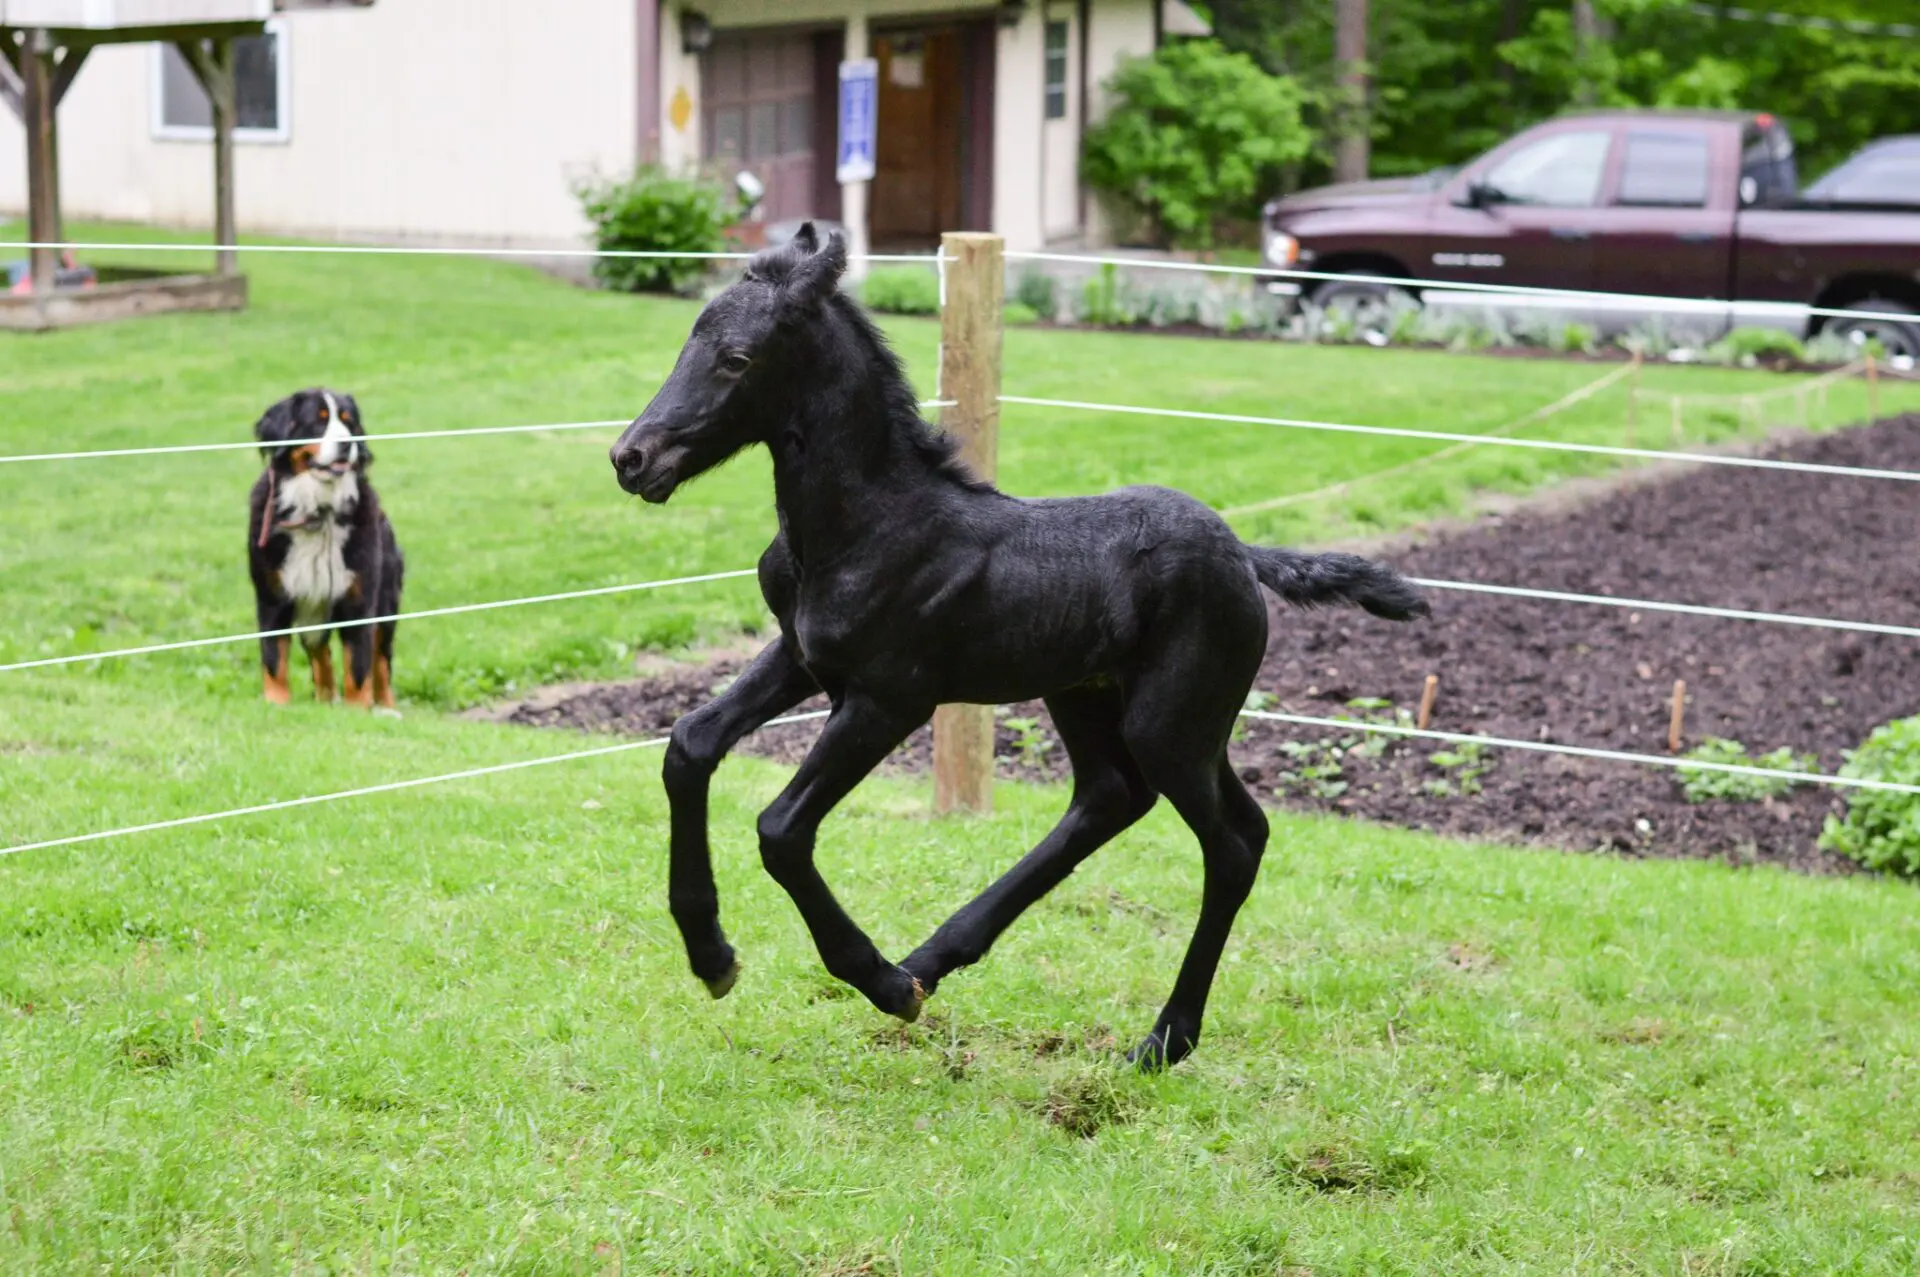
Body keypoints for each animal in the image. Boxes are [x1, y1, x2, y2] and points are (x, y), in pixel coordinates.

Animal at [247, 387, 405, 706]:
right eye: (318, 421)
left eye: (348, 421)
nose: (346, 444)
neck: (317, 510)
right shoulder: (271, 597)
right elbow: (273, 658)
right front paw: (276, 704)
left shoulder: (360, 598)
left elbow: (359, 664)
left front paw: (358, 708)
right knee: (320, 654)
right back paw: (326, 702)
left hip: (386, 601)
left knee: (381, 660)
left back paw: (386, 707)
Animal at [610, 226, 1428, 1067]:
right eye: (690, 340)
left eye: (737, 358)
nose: (631, 458)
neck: (868, 522)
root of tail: (1243, 555)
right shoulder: (801, 657)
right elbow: (689, 743)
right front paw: (712, 956)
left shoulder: (889, 697)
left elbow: (781, 829)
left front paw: (879, 983)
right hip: (1096, 698)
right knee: (1118, 798)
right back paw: (937, 957)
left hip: (1171, 722)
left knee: (1230, 841)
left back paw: (1162, 1036)